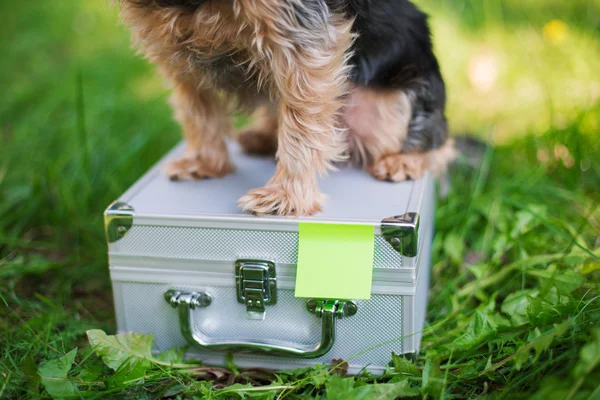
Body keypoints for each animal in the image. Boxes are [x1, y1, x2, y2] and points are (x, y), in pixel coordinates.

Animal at [118, 0, 454, 216]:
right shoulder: (173, 45)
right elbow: (197, 109)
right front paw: (203, 162)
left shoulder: (301, 35)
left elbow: (302, 121)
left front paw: (286, 196)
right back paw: (262, 137)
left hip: (386, 105)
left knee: (440, 145)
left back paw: (404, 161)